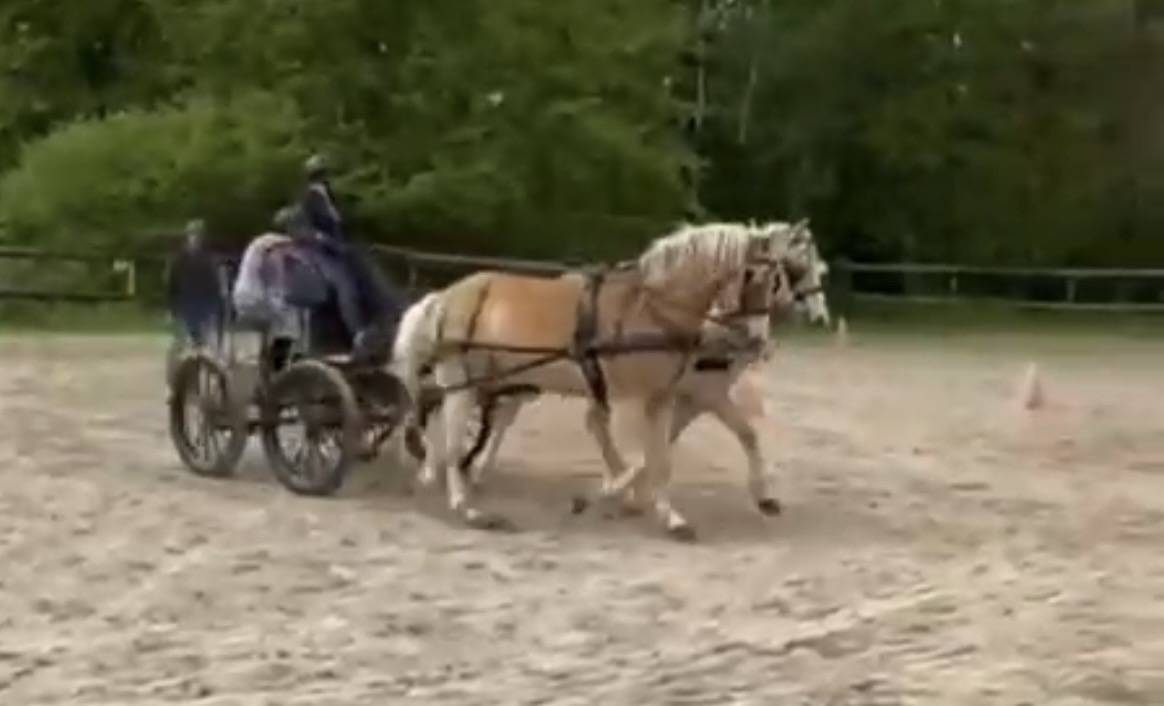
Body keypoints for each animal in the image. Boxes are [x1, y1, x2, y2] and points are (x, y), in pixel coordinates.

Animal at [391, 222, 787, 539]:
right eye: (752, 276)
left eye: (776, 282)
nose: (756, 339)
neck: (653, 309)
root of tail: (446, 295)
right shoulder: (646, 396)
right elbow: (641, 452)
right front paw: (617, 492)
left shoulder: (663, 395)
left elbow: (658, 455)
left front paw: (668, 516)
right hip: (462, 376)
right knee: (454, 436)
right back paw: (466, 506)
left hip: (483, 379)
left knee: (444, 420)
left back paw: (434, 475)